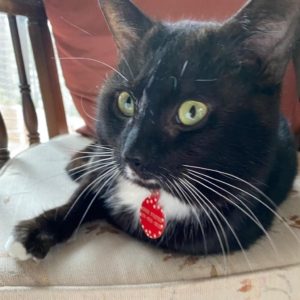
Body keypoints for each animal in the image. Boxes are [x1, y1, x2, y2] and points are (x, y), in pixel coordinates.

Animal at [5, 0, 300, 260]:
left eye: (192, 111)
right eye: (126, 101)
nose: (131, 155)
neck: (154, 194)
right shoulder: (106, 164)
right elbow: (84, 194)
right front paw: (34, 232)